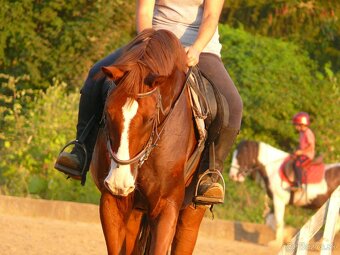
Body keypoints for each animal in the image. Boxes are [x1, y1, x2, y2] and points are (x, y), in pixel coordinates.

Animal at [91, 28, 207, 254]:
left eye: (150, 119)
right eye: (107, 113)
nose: (120, 182)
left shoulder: (166, 206)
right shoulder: (112, 202)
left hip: (191, 212)